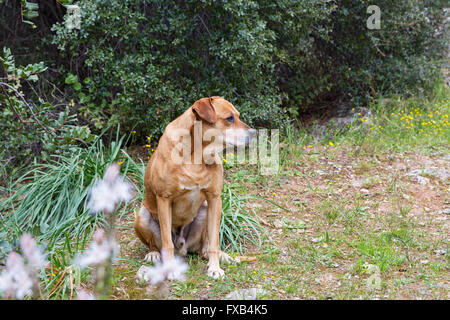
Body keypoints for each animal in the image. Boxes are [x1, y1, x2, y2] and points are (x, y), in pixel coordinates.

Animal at [134, 96, 255, 278]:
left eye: (238, 116)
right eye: (229, 118)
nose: (254, 133)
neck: (196, 154)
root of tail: (183, 248)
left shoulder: (214, 199)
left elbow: (214, 242)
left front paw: (214, 268)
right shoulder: (164, 199)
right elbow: (167, 243)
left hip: (205, 210)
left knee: (205, 248)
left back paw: (222, 256)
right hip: (142, 215)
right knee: (156, 244)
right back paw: (153, 253)